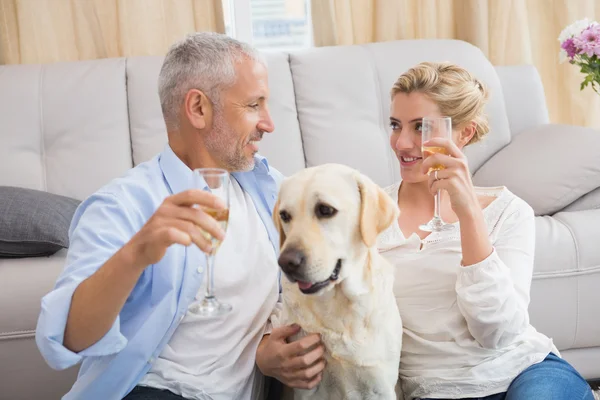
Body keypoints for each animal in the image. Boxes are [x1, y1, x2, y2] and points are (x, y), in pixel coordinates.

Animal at [272, 163, 404, 400]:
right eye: (285, 216)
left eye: (325, 210)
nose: (286, 263)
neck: (337, 304)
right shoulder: (307, 384)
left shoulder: (379, 386)